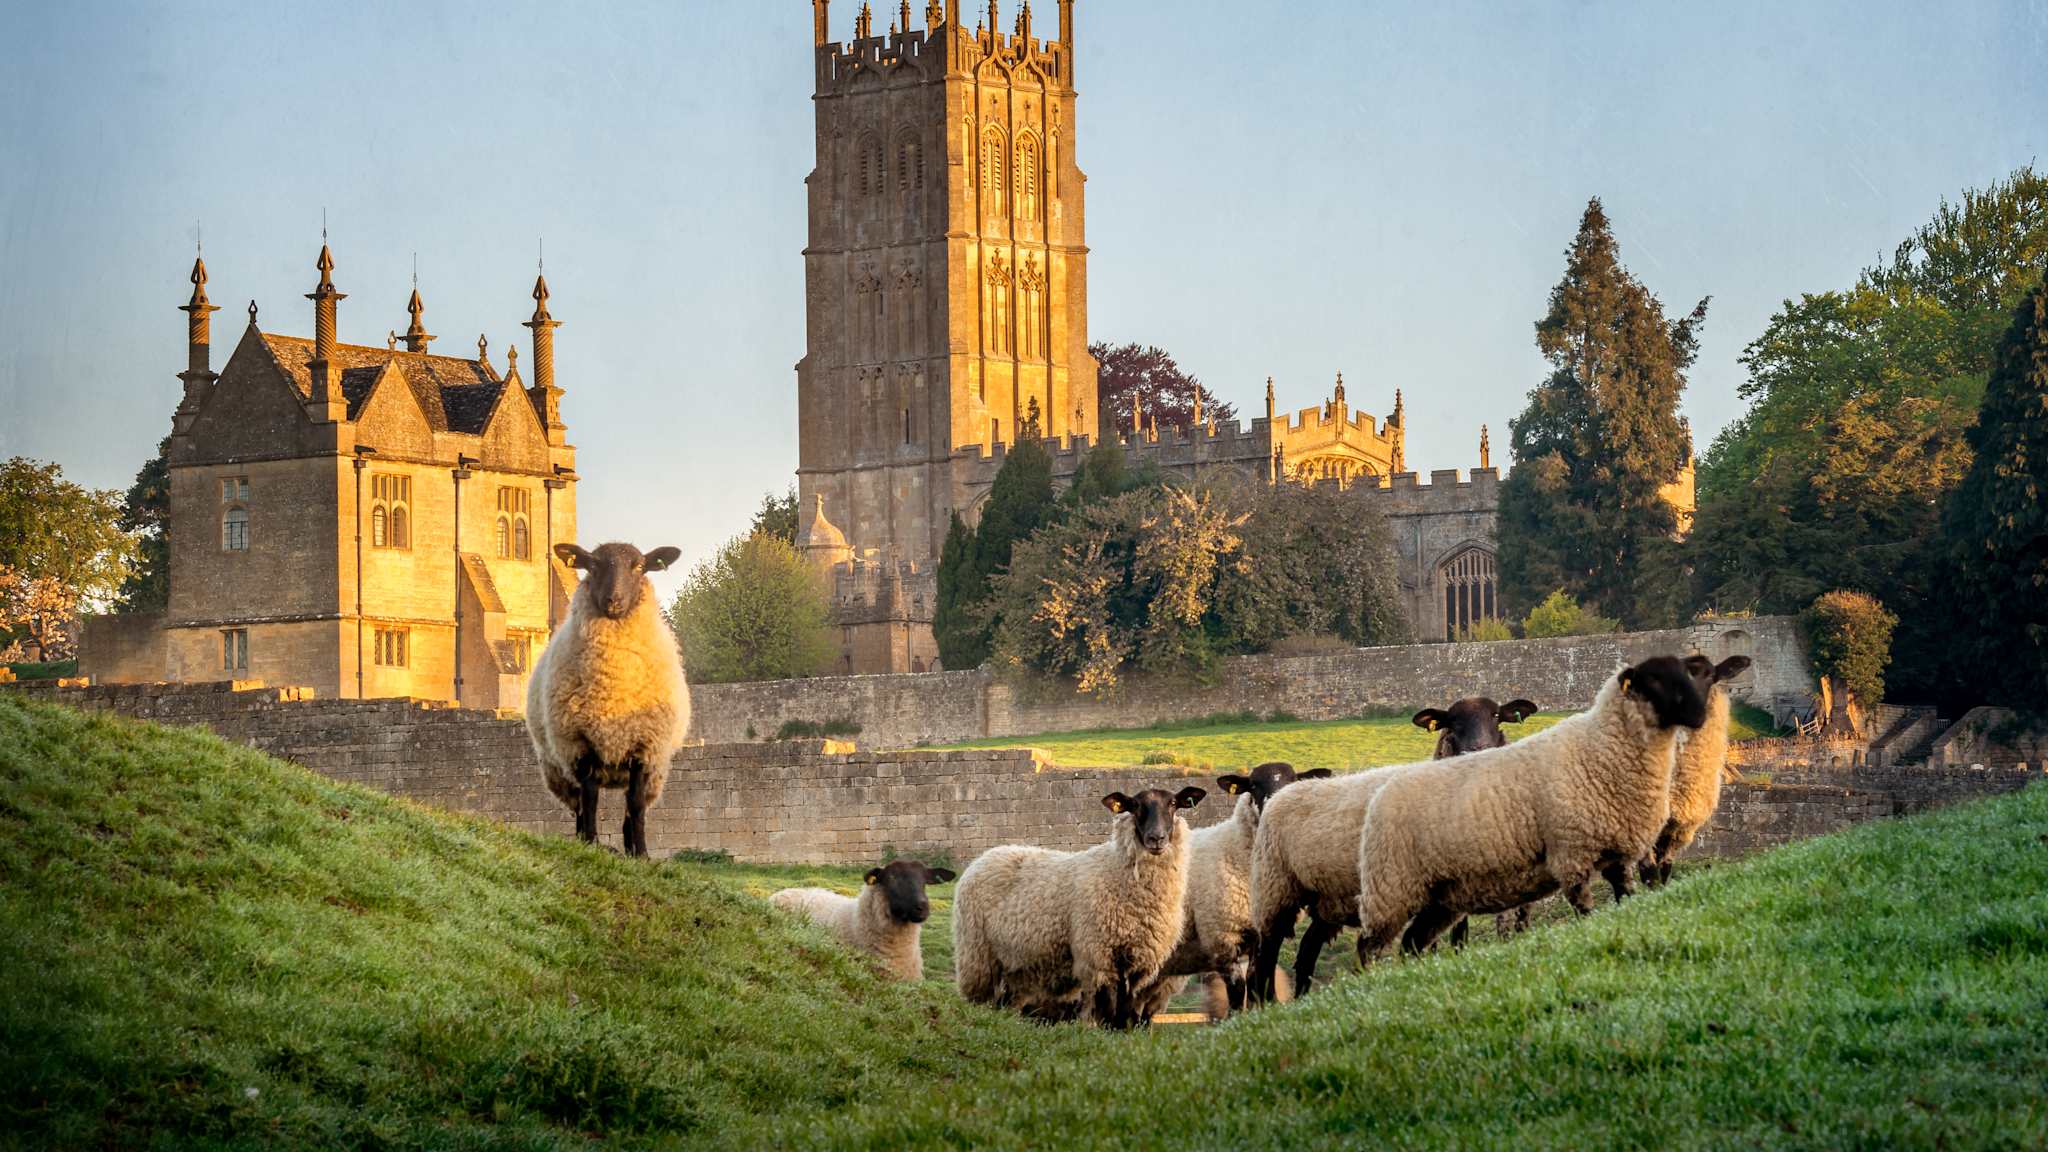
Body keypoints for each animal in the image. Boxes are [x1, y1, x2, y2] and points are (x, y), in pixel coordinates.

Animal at [525, 541, 690, 858]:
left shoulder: (644, 747)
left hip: (655, 774)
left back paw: (630, 851)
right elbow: (590, 801)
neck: (614, 681)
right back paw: (583, 839)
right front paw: (591, 844)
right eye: (593, 564)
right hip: (558, 770)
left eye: (639, 566)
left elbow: (635, 805)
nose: (614, 601)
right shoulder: (581, 745)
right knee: (578, 804)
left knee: (630, 808)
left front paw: (642, 854)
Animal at [953, 786, 1207, 1028]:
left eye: (1173, 803)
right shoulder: (1099, 955)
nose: (1156, 838)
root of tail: (985, 856)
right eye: (1135, 805)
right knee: (981, 998)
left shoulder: (1139, 960)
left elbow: (1128, 1009)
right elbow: (1109, 1007)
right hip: (978, 955)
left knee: (1007, 1001)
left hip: (1018, 965)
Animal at [1138, 763, 1329, 1021]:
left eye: (1292, 781)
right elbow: (1238, 990)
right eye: (1253, 785)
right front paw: (1236, 1021)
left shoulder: (1264, 931)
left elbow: (1257, 979)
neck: (1236, 848)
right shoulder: (1222, 936)